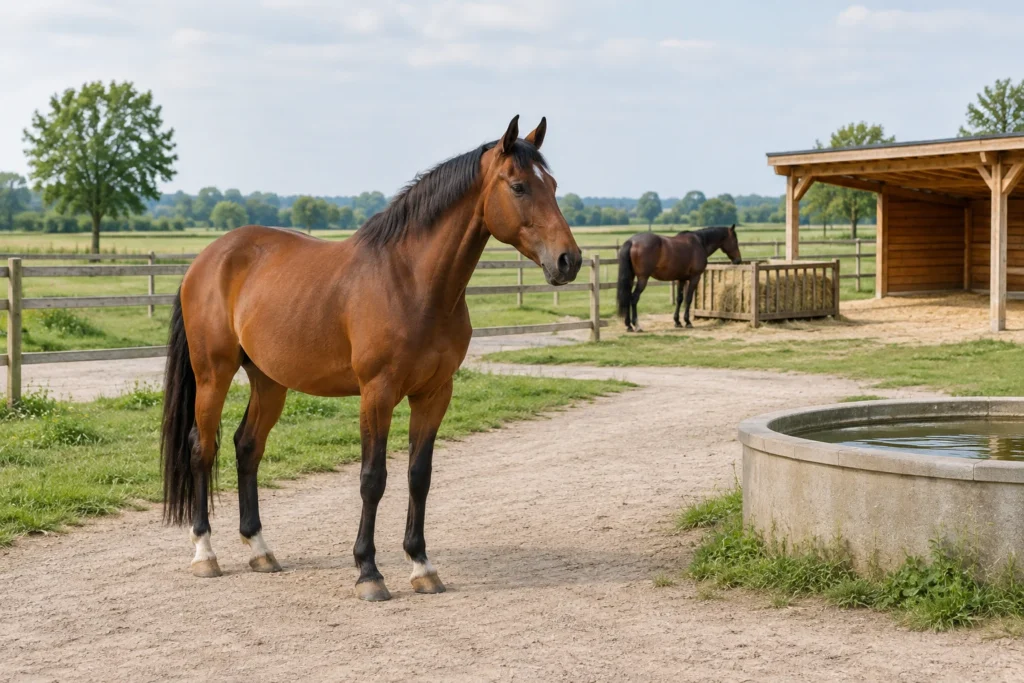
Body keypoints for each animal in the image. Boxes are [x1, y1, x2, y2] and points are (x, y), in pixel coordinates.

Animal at [161, 116, 581, 601]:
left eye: (552, 184)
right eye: (518, 186)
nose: (569, 260)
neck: (411, 282)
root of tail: (207, 259)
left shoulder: (434, 394)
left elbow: (419, 475)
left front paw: (421, 566)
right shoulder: (376, 394)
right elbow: (372, 478)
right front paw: (368, 572)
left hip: (269, 380)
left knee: (247, 447)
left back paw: (261, 550)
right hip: (214, 374)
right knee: (201, 448)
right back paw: (204, 553)